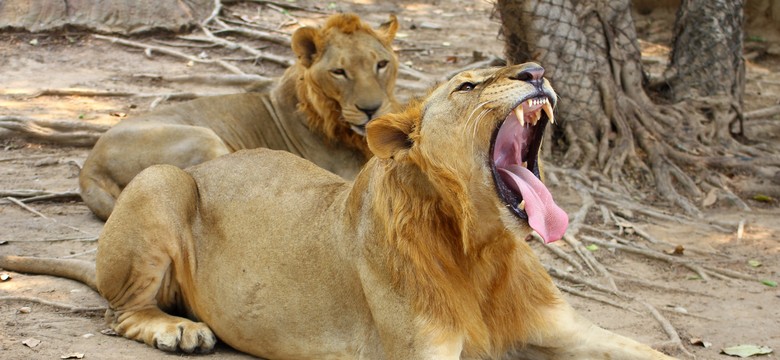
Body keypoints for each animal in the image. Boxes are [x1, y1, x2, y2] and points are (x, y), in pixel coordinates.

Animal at [0, 64, 672, 360]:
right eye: (468, 85)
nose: (536, 69)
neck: (484, 246)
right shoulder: (421, 355)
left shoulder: (570, 331)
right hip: (163, 179)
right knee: (121, 312)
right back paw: (180, 330)